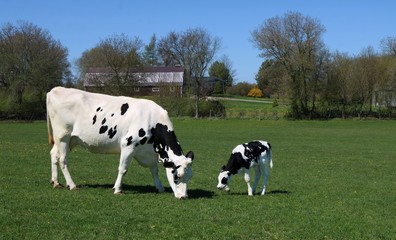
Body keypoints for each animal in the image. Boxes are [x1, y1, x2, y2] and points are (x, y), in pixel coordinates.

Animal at [46, 86, 195, 199]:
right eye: (177, 176)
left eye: (189, 177)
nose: (184, 197)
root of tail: (55, 90)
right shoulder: (128, 145)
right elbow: (123, 169)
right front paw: (117, 189)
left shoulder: (149, 152)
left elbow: (154, 170)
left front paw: (159, 187)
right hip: (63, 136)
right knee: (62, 160)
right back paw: (72, 185)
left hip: (69, 139)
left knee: (54, 155)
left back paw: (56, 182)